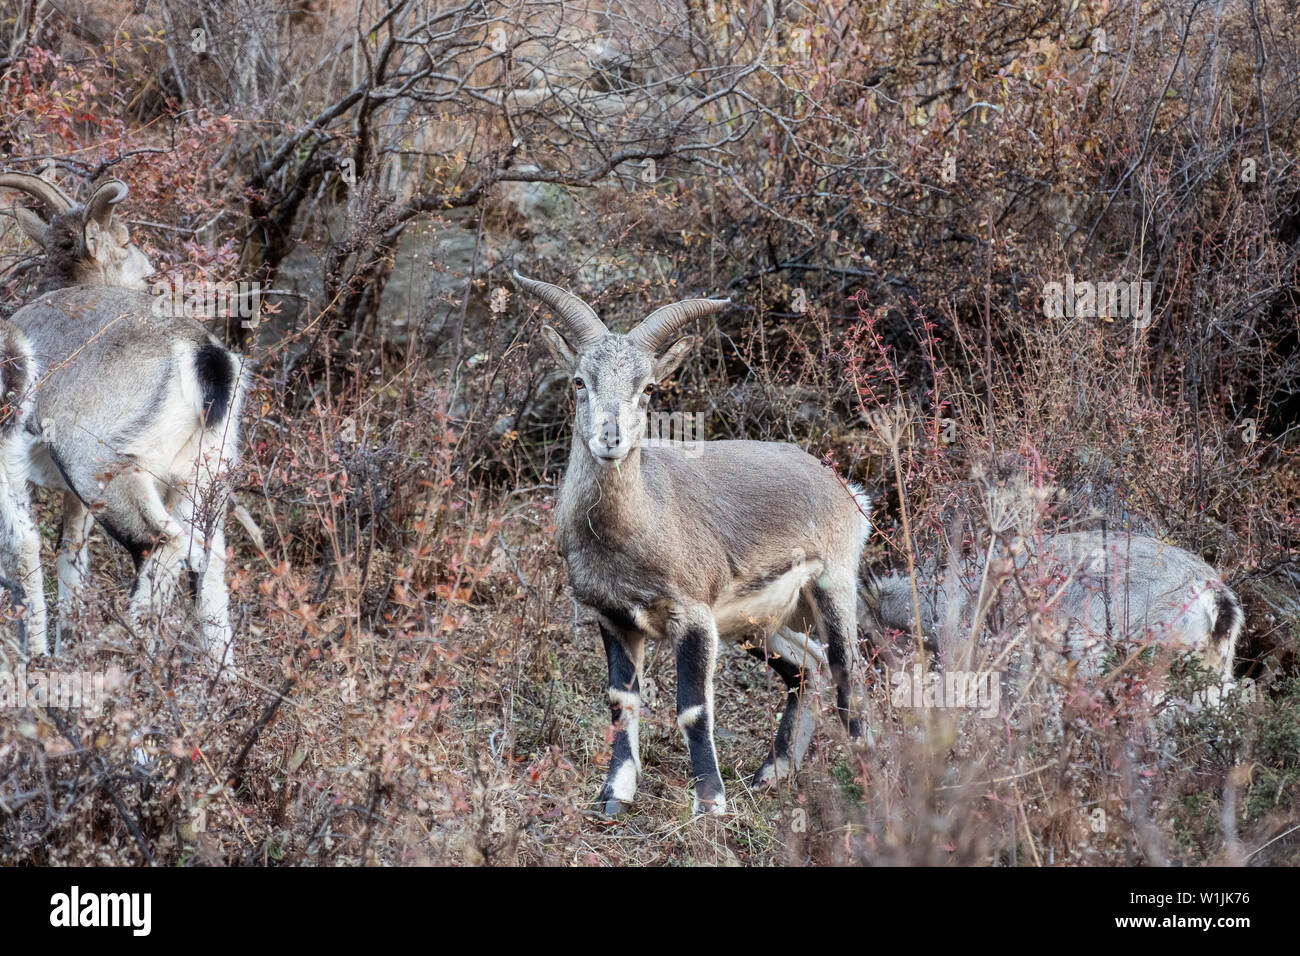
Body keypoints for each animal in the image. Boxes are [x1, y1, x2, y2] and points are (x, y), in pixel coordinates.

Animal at [0, 171, 246, 671]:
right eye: (127, 240)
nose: (150, 272)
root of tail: (204, 356)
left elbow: (23, 547)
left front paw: (36, 656)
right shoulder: (72, 501)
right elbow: (70, 559)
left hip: (100, 468)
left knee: (164, 544)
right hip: (203, 478)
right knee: (210, 566)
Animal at [515, 271, 868, 815]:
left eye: (648, 387)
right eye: (579, 381)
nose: (610, 438)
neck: (635, 530)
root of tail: (843, 487)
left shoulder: (694, 615)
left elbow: (694, 709)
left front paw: (710, 802)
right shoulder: (613, 618)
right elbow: (622, 702)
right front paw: (615, 794)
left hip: (833, 580)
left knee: (847, 668)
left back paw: (868, 775)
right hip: (759, 623)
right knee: (807, 667)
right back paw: (773, 771)